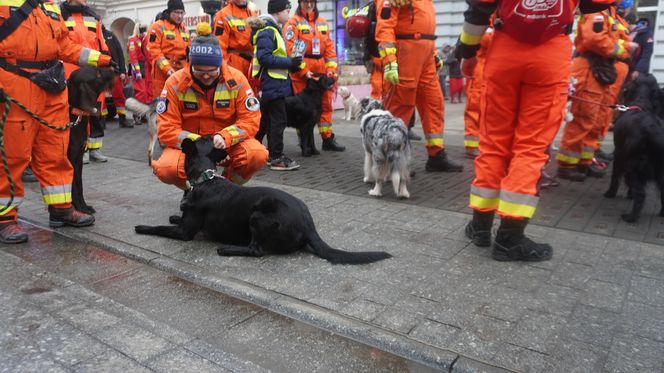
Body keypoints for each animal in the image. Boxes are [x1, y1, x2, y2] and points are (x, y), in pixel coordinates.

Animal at [67, 66, 115, 212]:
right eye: (97, 73)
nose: (114, 68)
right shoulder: (70, 160)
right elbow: (72, 187)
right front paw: (79, 209)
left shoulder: (78, 160)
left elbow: (79, 186)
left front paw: (84, 206)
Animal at [137, 135, 392, 264]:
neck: (205, 177)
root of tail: (308, 225)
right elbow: (176, 218)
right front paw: (174, 215)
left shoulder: (184, 233)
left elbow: (159, 228)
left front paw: (141, 227)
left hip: (259, 214)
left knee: (257, 250)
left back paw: (228, 249)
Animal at [604, 74, 664, 222]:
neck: (641, 104)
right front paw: (630, 195)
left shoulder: (619, 153)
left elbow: (615, 176)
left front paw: (610, 193)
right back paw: (662, 213)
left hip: (634, 165)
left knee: (641, 193)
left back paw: (631, 217)